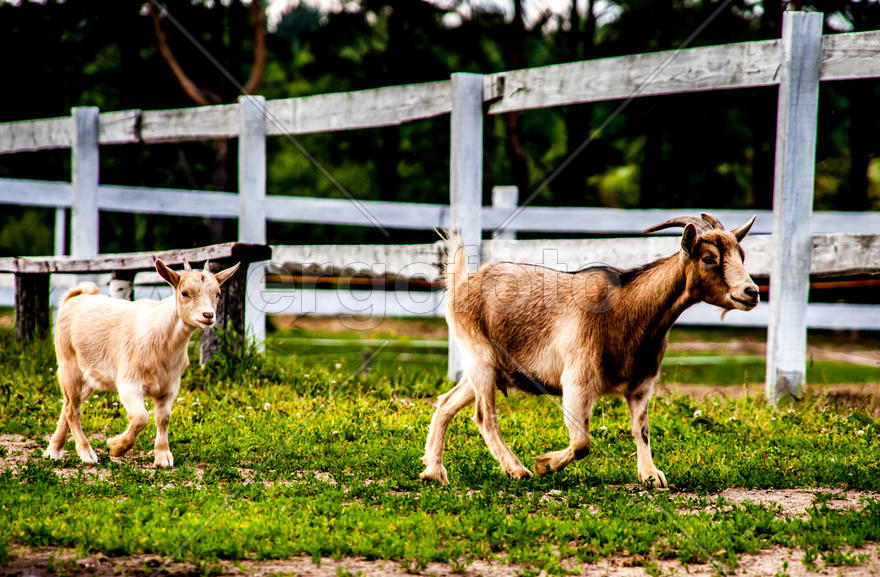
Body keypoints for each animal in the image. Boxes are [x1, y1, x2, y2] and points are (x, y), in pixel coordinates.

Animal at [43, 258, 239, 466]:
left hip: (89, 377)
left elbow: (164, 418)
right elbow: (141, 418)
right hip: (68, 363)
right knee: (72, 409)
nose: (208, 315)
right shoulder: (129, 382)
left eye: (217, 294)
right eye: (185, 293)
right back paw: (86, 453)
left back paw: (53, 450)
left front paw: (163, 456)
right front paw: (116, 446)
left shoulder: (170, 386)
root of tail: (73, 300)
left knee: (69, 404)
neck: (161, 339)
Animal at [420, 214, 756, 484]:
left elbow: (642, 430)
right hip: (480, 357)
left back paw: (433, 472)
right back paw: (517, 470)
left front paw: (651, 476)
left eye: (742, 254)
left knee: (446, 402)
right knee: (484, 416)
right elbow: (582, 442)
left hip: (493, 368)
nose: (751, 292)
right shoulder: (578, 382)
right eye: (709, 258)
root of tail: (461, 282)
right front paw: (544, 465)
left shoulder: (641, 385)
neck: (628, 309)